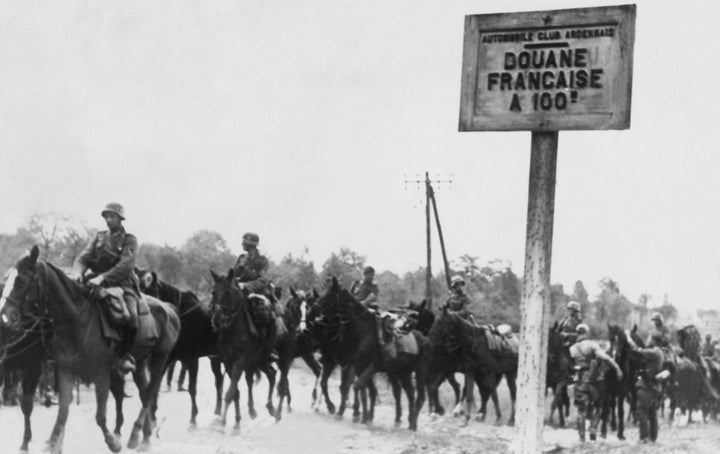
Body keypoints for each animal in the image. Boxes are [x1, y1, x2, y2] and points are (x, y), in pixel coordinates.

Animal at [1, 248, 181, 454]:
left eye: (20, 281)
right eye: (5, 279)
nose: (4, 316)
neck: (78, 318)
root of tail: (169, 308)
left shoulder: (99, 373)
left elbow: (100, 416)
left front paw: (113, 442)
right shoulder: (65, 369)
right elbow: (63, 411)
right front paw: (51, 443)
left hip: (160, 358)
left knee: (150, 392)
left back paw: (136, 435)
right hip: (141, 361)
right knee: (145, 393)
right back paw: (144, 436)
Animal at [135, 268, 225, 424]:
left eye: (150, 290)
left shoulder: (192, 359)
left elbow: (192, 388)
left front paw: (193, 416)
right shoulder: (166, 359)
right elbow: (155, 385)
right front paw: (152, 413)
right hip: (215, 357)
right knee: (219, 379)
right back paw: (218, 409)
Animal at [210, 270, 278, 432]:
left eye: (228, 293)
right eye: (213, 292)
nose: (217, 320)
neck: (234, 330)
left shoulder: (241, 361)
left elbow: (230, 392)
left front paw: (223, 422)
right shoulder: (228, 362)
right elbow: (235, 392)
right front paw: (236, 421)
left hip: (261, 358)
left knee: (271, 375)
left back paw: (272, 410)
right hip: (257, 362)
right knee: (268, 375)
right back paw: (260, 410)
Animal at [316, 278, 428, 430]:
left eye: (329, 294)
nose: (315, 307)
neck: (363, 332)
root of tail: (422, 337)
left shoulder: (370, 366)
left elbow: (357, 387)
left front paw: (359, 415)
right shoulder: (357, 366)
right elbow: (363, 390)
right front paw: (365, 417)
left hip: (419, 372)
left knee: (418, 395)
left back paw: (412, 423)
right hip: (401, 372)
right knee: (408, 393)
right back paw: (407, 421)